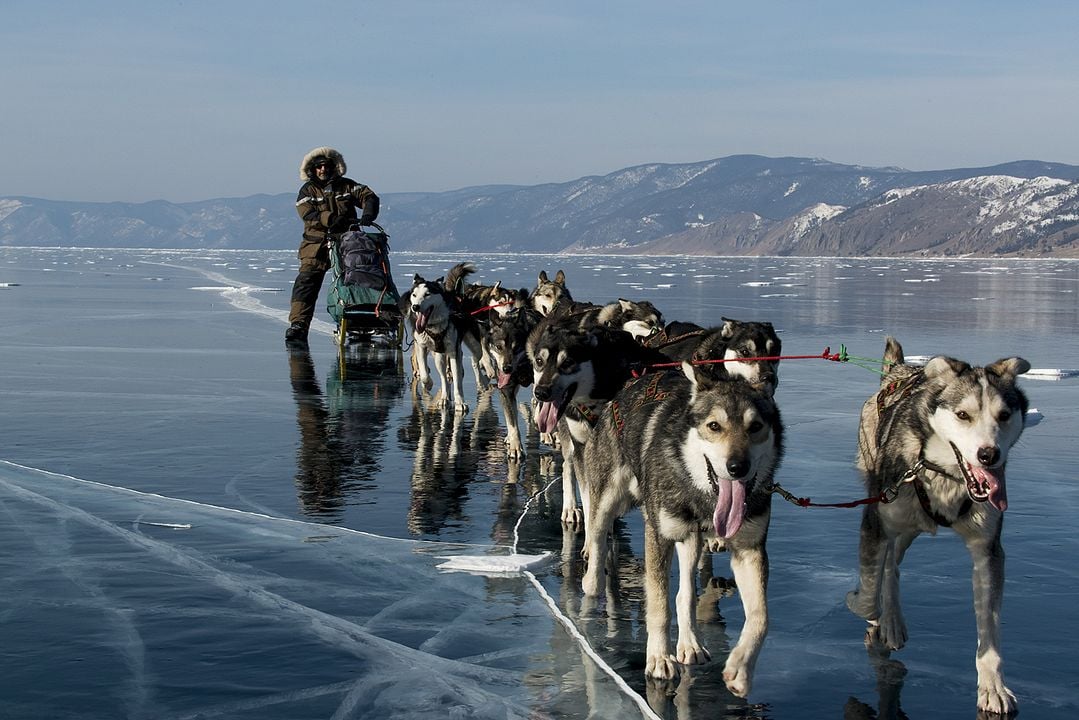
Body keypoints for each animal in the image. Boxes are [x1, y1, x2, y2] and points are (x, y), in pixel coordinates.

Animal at [405, 263, 485, 410]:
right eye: (414, 294)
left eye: (427, 294)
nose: (415, 307)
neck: (434, 326)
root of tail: (456, 295)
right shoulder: (421, 346)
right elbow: (424, 373)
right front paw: (428, 384)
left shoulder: (453, 352)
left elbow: (457, 381)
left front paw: (460, 402)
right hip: (439, 356)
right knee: (444, 377)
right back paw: (444, 397)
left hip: (475, 347)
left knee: (474, 362)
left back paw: (481, 383)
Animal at [528, 317, 668, 520]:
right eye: (539, 361)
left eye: (568, 362)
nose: (541, 392)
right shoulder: (581, 446)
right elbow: (589, 497)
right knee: (568, 466)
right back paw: (570, 507)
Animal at [582, 367, 785, 699]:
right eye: (714, 426)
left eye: (755, 426)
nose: (737, 467)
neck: (702, 496)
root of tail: (633, 381)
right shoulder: (658, 535)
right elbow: (659, 603)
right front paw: (658, 658)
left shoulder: (749, 548)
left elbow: (760, 617)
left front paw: (741, 669)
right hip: (610, 497)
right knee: (598, 535)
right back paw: (592, 582)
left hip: (691, 539)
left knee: (686, 592)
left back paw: (691, 643)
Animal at [850, 336, 1027, 716]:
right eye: (963, 415)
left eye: (1004, 416)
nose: (989, 455)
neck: (944, 473)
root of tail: (899, 370)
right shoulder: (876, 522)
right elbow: (869, 594)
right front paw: (864, 607)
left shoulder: (988, 549)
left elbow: (989, 630)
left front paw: (993, 687)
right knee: (887, 566)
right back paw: (888, 621)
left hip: (909, 529)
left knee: (894, 564)